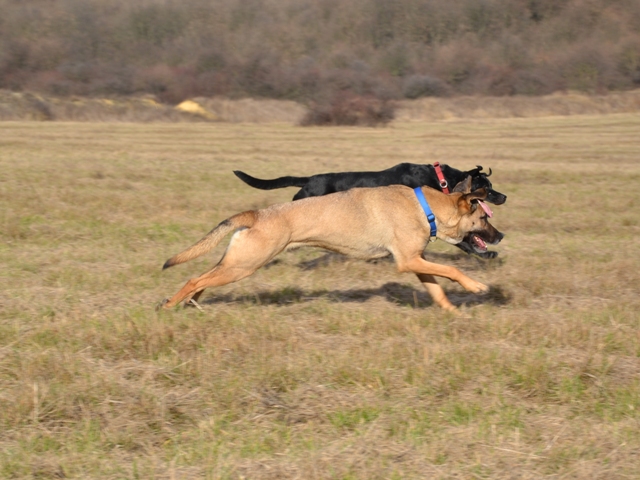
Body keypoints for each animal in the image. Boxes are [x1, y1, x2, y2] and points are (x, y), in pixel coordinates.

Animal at [159, 176, 500, 312]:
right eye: (483, 219)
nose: (501, 237)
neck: (427, 206)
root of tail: (256, 214)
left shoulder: (416, 261)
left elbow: (437, 288)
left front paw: (452, 312)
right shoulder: (408, 261)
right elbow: (451, 271)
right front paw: (477, 287)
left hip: (234, 262)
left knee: (201, 278)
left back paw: (190, 303)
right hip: (244, 264)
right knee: (194, 279)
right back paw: (170, 305)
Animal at [232, 163, 508, 258]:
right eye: (487, 187)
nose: (504, 196)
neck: (440, 180)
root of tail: (309, 179)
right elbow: (463, 241)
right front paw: (487, 255)